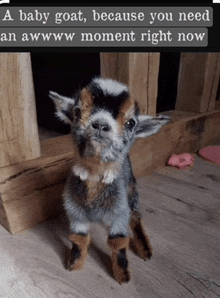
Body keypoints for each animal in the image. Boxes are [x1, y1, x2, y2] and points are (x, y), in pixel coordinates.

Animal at [49, 77, 168, 284]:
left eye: (130, 123)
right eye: (76, 112)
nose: (101, 125)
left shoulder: (119, 213)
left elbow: (118, 242)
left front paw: (123, 276)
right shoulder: (75, 212)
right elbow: (78, 238)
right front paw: (74, 265)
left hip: (131, 189)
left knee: (136, 216)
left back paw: (145, 249)